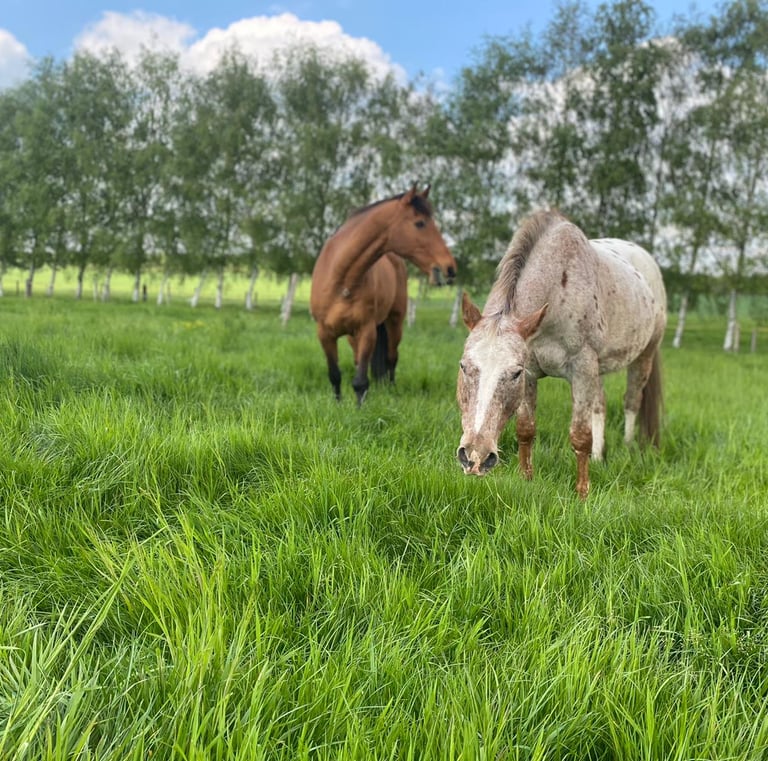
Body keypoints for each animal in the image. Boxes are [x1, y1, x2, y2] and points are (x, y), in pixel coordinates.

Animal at [310, 184, 457, 405]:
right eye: (420, 223)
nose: (449, 268)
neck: (341, 280)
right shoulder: (325, 333)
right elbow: (335, 375)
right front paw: (338, 404)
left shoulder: (367, 331)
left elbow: (360, 381)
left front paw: (359, 409)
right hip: (352, 336)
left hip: (394, 322)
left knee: (392, 357)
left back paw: (391, 389)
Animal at [456, 209, 666, 499]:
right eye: (464, 366)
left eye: (514, 374)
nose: (475, 457)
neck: (558, 292)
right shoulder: (534, 372)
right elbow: (526, 430)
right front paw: (526, 480)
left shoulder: (581, 369)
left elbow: (580, 435)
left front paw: (582, 494)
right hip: (599, 368)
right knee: (600, 405)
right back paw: (599, 457)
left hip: (643, 356)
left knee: (632, 401)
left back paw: (627, 447)